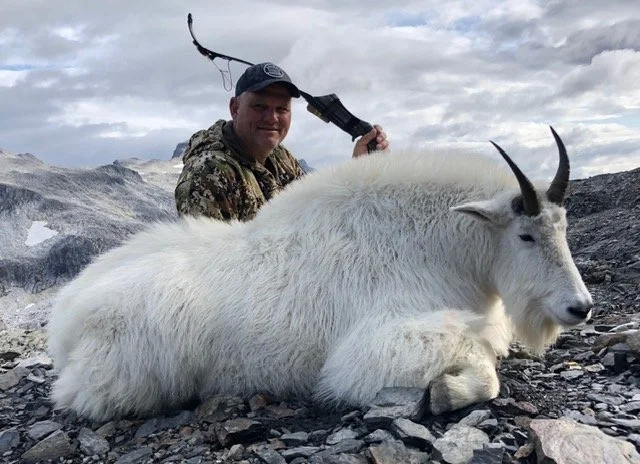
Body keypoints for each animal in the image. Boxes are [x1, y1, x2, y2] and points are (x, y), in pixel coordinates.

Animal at [47, 127, 592, 421]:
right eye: (525, 235)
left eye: (565, 227)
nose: (580, 308)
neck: (434, 243)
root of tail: (64, 318)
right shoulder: (382, 341)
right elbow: (485, 375)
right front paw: (443, 393)